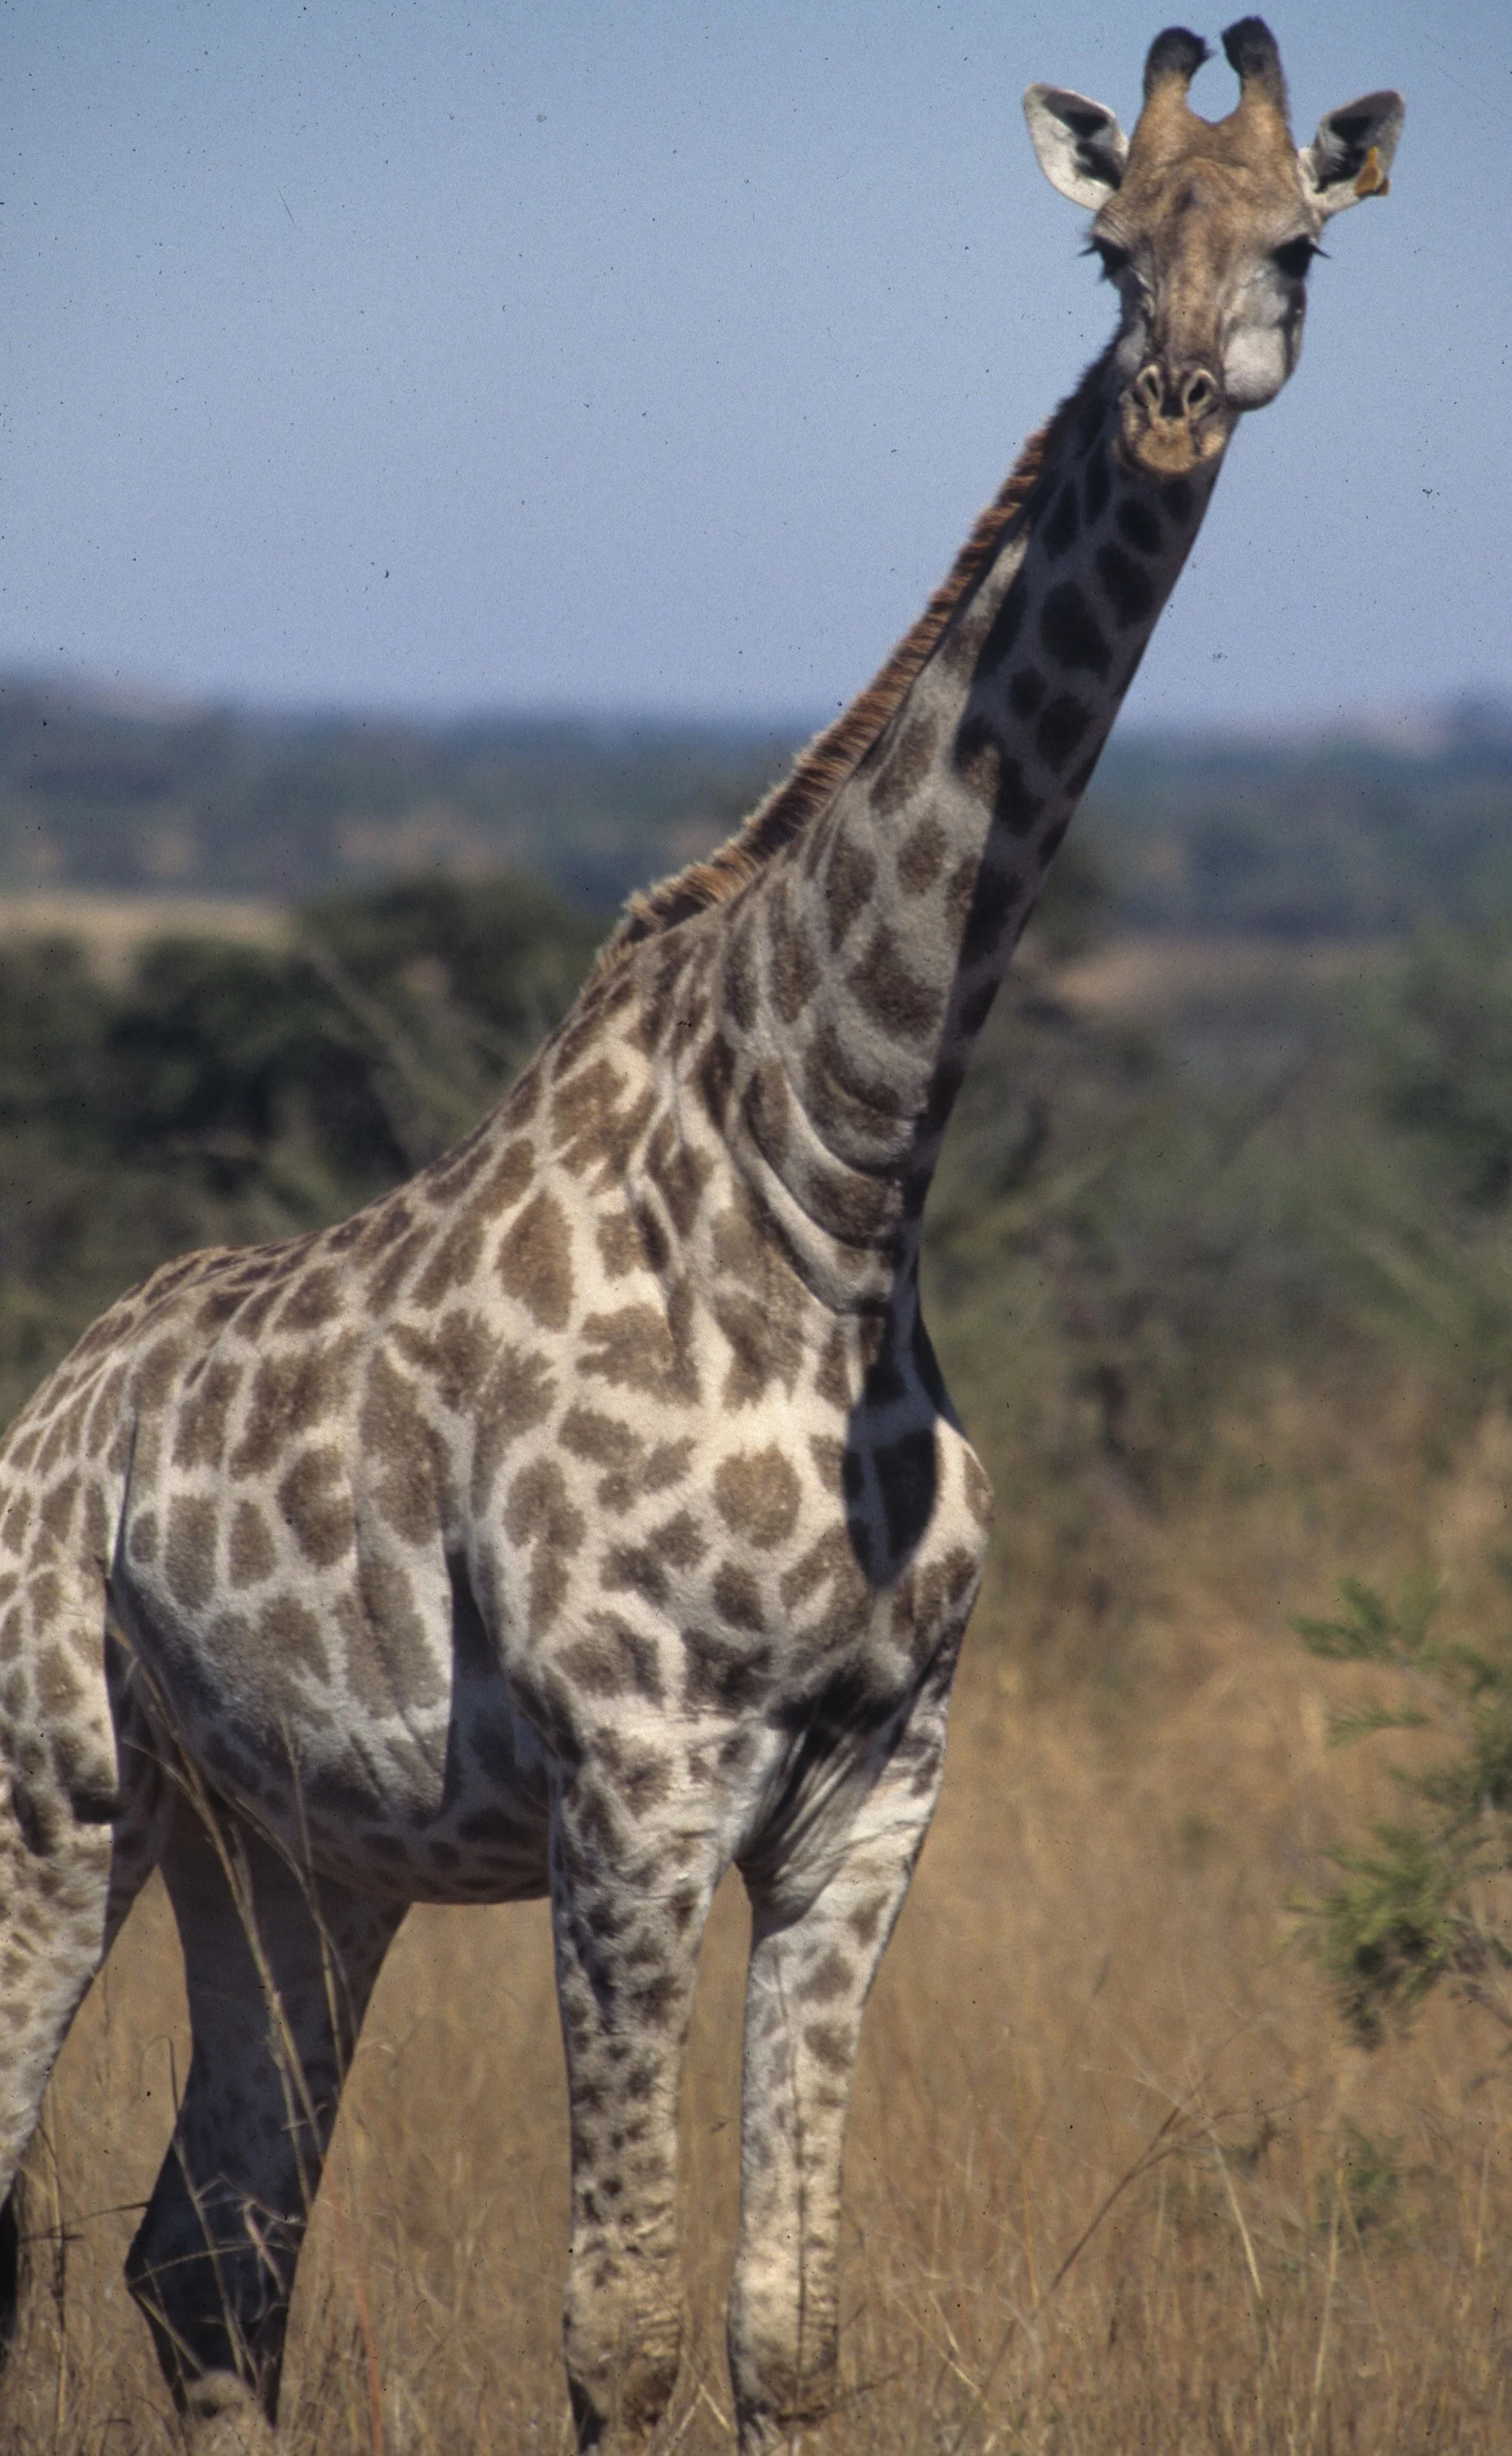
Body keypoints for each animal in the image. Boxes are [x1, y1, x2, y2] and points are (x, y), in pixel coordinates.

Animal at [0, 22, 1400, 2452]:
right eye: (1105, 242)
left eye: (1295, 242)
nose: (1169, 396)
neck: (834, 1188)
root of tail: (48, 1409)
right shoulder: (636, 1784)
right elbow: (621, 2334)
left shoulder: (876, 1789)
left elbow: (782, 2331)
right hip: (55, 1788)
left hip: (289, 1852)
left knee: (207, 2257)